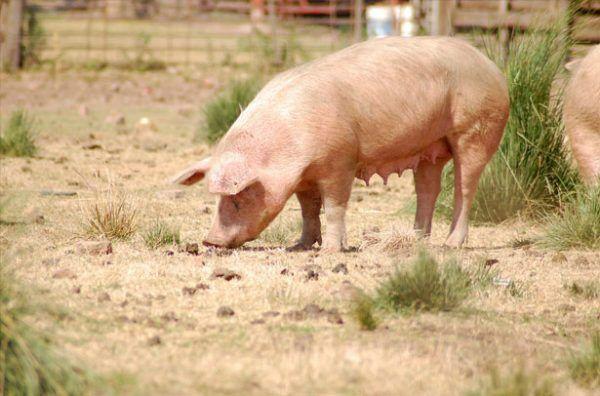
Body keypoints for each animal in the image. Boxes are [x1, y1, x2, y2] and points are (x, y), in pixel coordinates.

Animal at [171, 38, 508, 254]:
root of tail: (493, 68)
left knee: (465, 187)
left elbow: (334, 206)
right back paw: (416, 241)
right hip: (429, 148)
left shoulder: (340, 160)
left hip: (476, 128)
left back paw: (451, 244)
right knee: (427, 189)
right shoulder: (304, 176)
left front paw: (332, 251)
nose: (210, 241)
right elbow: (308, 209)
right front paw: (300, 245)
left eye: (239, 199)